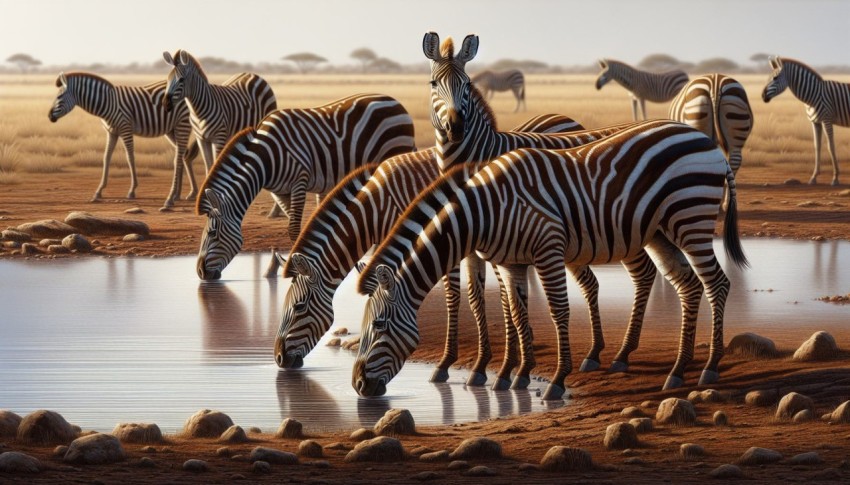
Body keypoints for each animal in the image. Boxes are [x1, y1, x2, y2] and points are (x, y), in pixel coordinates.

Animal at [48, 71, 199, 209]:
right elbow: (106, 157)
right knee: (183, 153)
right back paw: (181, 194)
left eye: (59, 96)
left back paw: (183, 194)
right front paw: (99, 191)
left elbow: (130, 157)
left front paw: (132, 190)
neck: (108, 103)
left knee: (181, 155)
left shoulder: (125, 129)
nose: (49, 116)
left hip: (182, 124)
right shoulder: (112, 132)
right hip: (171, 129)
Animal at [195, 93, 416, 280]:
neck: (266, 158)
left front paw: (298, 268)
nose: (200, 273)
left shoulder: (299, 181)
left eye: (212, 234)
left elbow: (294, 230)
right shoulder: (280, 192)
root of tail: (397, 103)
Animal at [354, 119, 748, 400]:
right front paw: (512, 377)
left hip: (690, 218)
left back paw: (709, 366)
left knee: (716, 283)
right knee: (689, 287)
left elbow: (558, 311)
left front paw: (556, 379)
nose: (358, 385)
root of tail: (706, 140)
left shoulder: (547, 249)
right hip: (660, 232)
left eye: (379, 326)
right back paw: (677, 370)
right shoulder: (511, 262)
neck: (487, 209)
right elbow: (517, 313)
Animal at [762, 56, 850, 185]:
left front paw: (835, 178)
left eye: (775, 78)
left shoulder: (827, 120)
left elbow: (831, 146)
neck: (814, 95)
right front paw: (814, 177)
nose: (763, 96)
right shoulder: (816, 122)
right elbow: (817, 146)